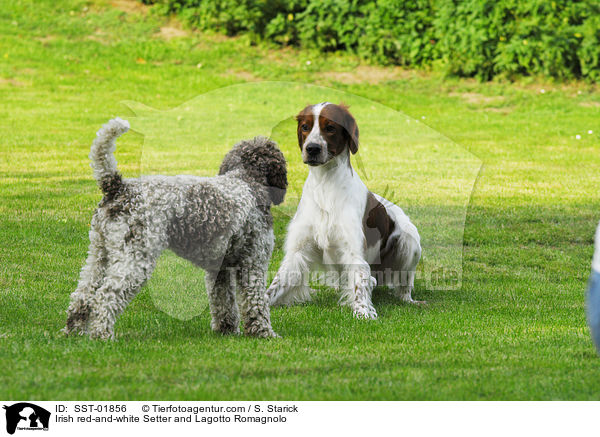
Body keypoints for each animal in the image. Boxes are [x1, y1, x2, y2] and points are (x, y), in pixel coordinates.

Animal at [62, 117, 288, 338]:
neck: (247, 181)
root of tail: (117, 187)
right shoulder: (253, 262)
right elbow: (255, 302)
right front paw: (263, 332)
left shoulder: (220, 269)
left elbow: (223, 302)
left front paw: (227, 329)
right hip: (134, 258)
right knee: (106, 295)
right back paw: (102, 334)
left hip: (99, 254)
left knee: (83, 295)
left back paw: (74, 331)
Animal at [268, 103, 422, 318]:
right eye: (305, 126)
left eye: (330, 128)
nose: (312, 148)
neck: (325, 185)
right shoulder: (297, 251)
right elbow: (275, 286)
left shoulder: (353, 251)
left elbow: (359, 282)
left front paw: (363, 312)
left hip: (411, 241)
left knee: (403, 286)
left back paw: (409, 300)